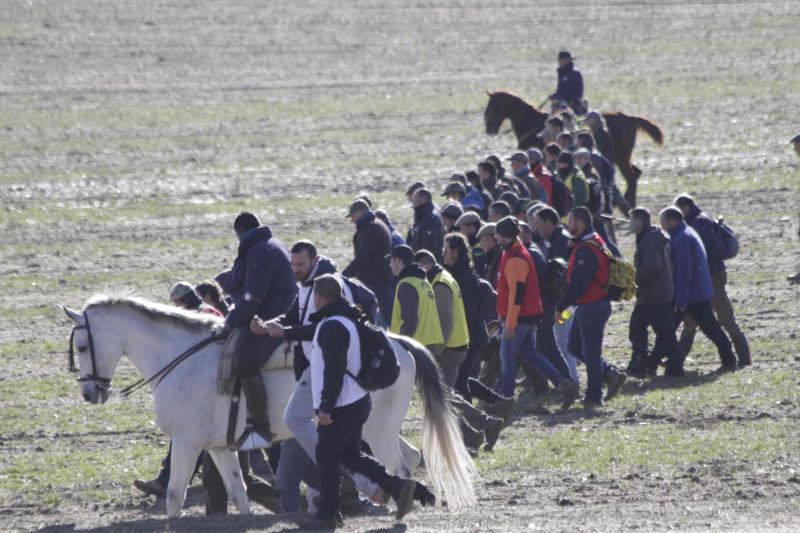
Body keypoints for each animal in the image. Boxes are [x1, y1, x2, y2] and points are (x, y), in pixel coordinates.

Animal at [62, 294, 478, 516]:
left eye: (81, 345)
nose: (89, 393)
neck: (178, 356)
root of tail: (400, 344)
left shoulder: (186, 442)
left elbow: (176, 494)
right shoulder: (218, 447)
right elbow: (237, 492)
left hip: (378, 431)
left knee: (398, 463)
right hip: (378, 429)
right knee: (408, 456)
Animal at [484, 88, 664, 207]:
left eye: (493, 106)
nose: (489, 129)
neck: (533, 124)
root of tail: (629, 118)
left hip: (621, 158)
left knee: (631, 177)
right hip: (623, 157)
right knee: (636, 174)